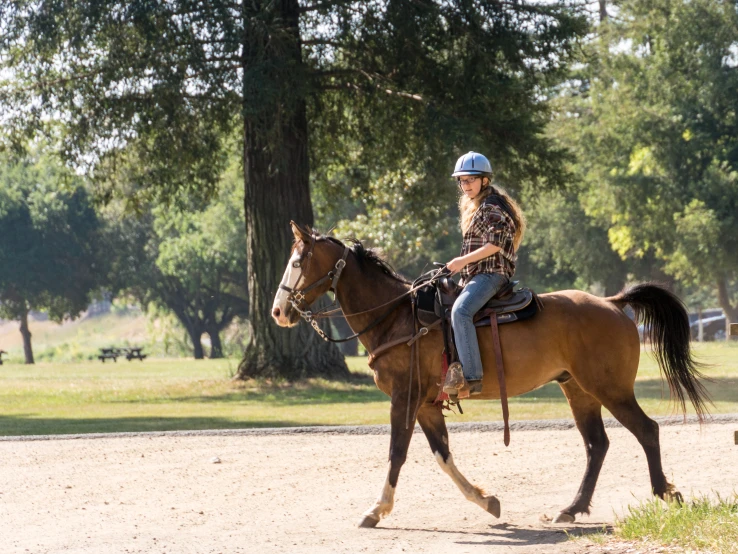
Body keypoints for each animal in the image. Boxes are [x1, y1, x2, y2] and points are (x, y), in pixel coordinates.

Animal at [270, 221, 708, 528]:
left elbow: (397, 452)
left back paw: (664, 492)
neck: (396, 316)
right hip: (578, 390)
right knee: (596, 445)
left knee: (647, 430)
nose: (278, 311)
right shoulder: (426, 404)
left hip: (610, 389)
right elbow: (443, 455)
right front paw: (486, 500)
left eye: (297, 262)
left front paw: (376, 510)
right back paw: (572, 508)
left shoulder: (404, 399)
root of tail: (613, 303)